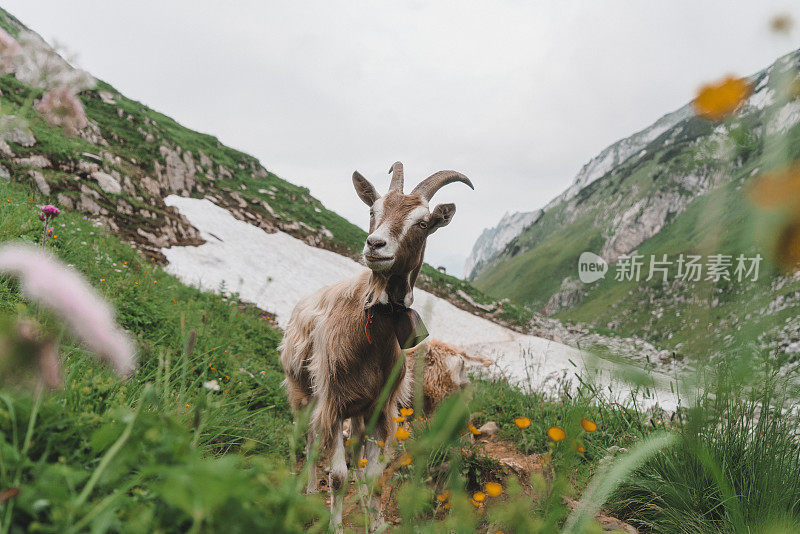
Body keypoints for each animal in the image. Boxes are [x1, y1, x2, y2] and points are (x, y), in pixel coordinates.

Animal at [278, 162, 472, 532]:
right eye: (373, 211)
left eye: (423, 223)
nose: (375, 244)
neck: (368, 333)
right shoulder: (332, 402)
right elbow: (337, 476)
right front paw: (335, 525)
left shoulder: (380, 411)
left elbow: (374, 477)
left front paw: (376, 521)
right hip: (303, 391)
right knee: (307, 439)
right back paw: (307, 490)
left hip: (357, 412)